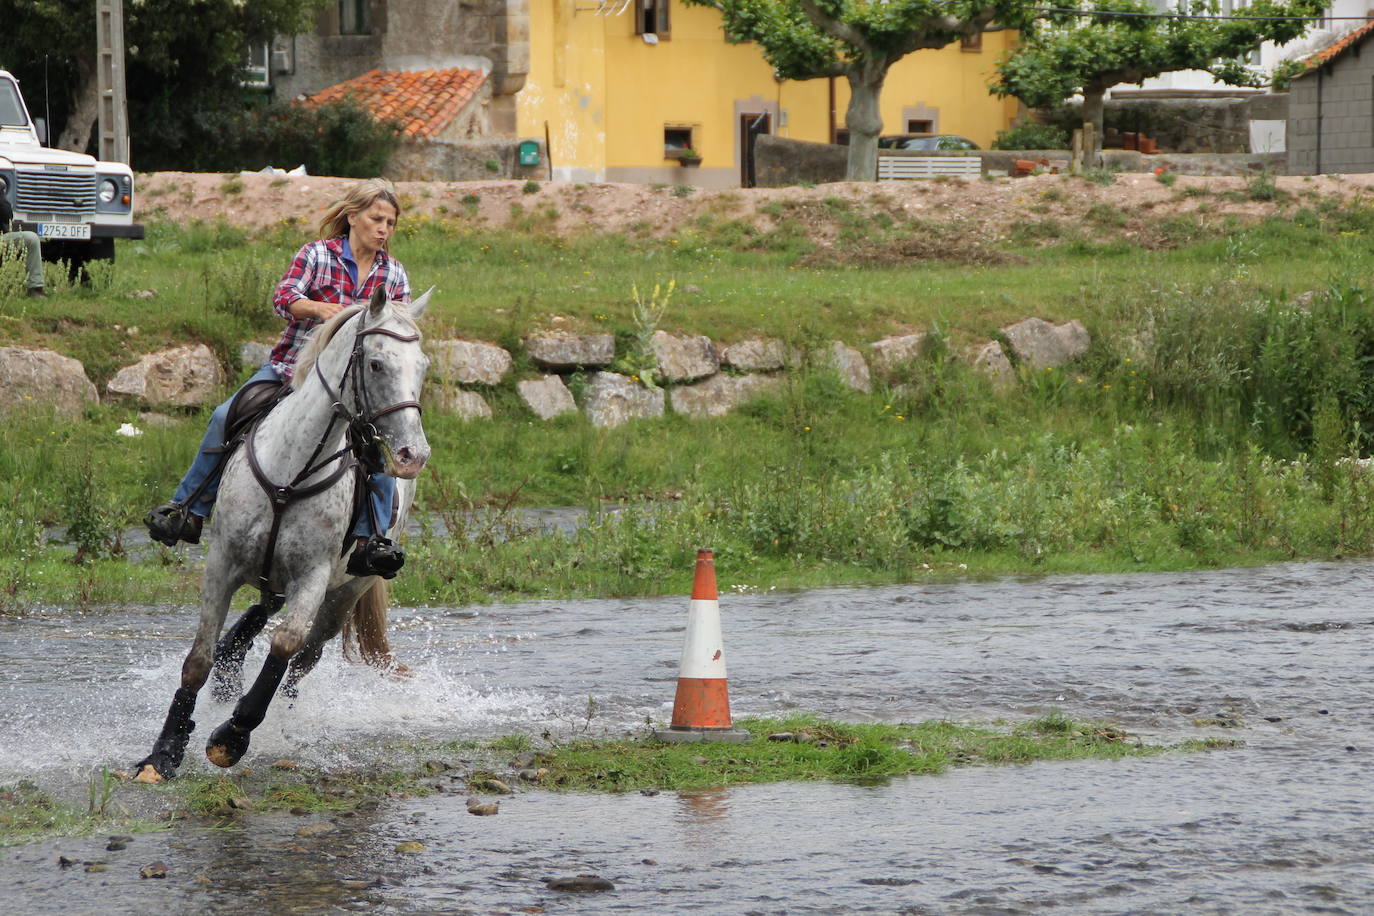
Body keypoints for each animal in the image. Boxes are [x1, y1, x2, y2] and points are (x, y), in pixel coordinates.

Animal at [134, 284, 431, 780]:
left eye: (422, 366)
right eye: (376, 364)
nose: (413, 454)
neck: (292, 472)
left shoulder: (313, 576)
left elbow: (286, 644)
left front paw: (232, 737)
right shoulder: (222, 564)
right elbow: (197, 660)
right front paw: (164, 753)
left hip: (346, 591)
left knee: (302, 660)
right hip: (270, 574)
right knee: (255, 618)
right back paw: (228, 669)